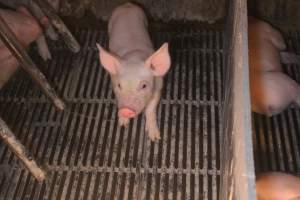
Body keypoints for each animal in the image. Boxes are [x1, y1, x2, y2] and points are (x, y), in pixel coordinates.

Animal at [96, 2, 171, 141]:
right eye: (119, 85)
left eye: (144, 85)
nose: (126, 109)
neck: (134, 57)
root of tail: (128, 4)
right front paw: (123, 124)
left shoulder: (158, 86)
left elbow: (150, 109)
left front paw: (155, 137)